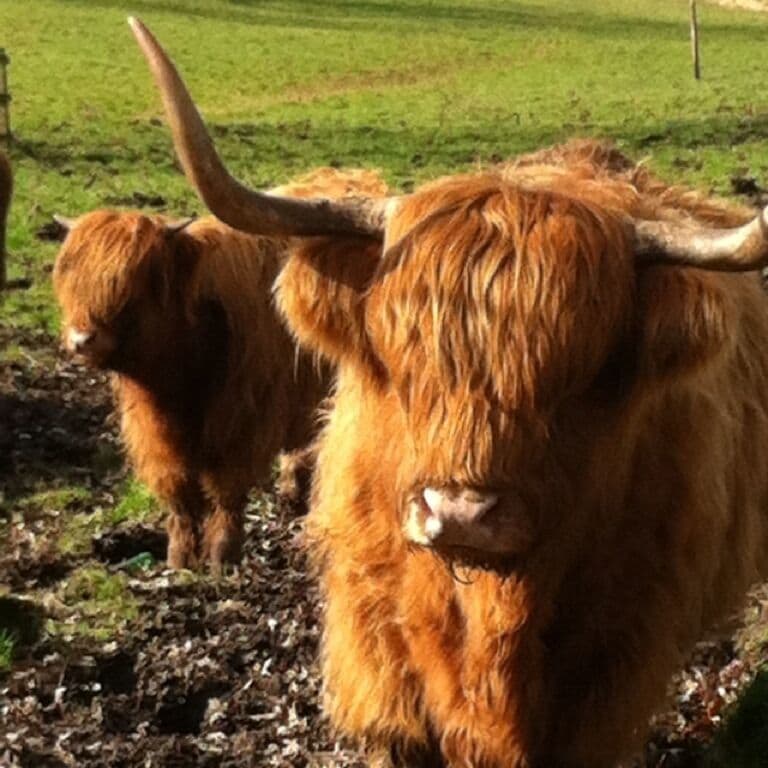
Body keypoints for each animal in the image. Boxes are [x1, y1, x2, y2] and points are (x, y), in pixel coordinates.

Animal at [52, 164, 388, 572]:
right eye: (70, 277)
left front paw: (221, 557)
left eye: (135, 279)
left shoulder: (242, 422)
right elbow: (180, 496)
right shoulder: (155, 436)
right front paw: (179, 558)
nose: (81, 339)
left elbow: (226, 491)